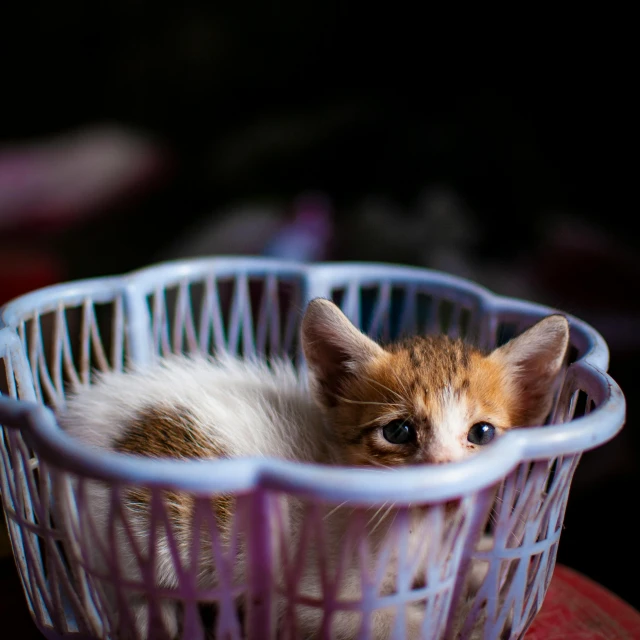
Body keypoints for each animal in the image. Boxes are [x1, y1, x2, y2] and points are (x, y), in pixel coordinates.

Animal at [55, 298, 568, 636]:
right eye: (399, 431)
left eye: (481, 433)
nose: (442, 471)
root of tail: (79, 416)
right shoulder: (312, 595)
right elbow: (393, 620)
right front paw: (459, 621)